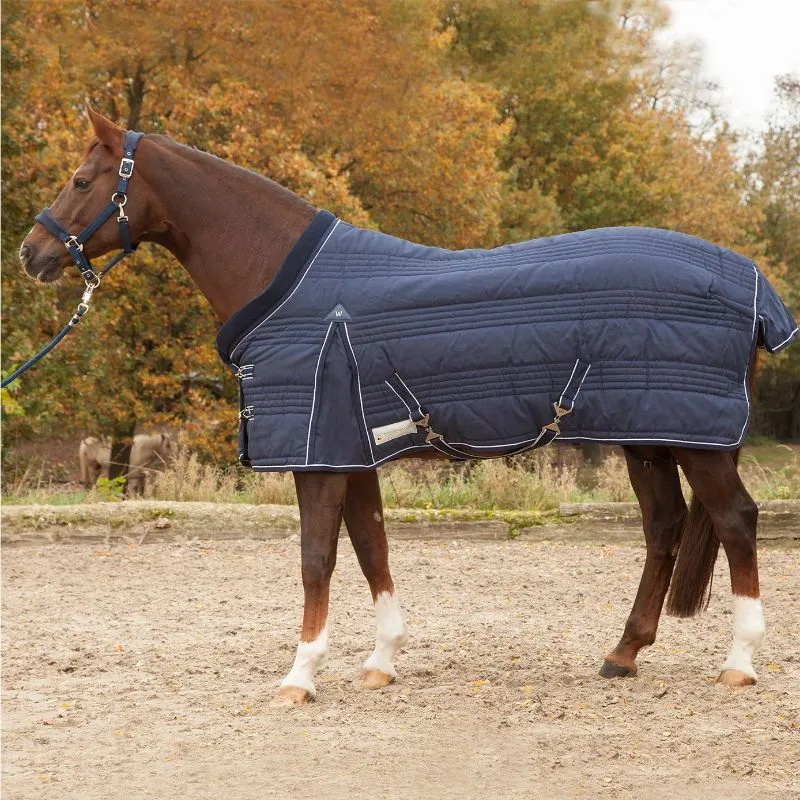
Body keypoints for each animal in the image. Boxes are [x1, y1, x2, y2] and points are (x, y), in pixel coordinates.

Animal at [18, 106, 788, 705]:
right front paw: (380, 663)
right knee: (664, 526)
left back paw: (738, 663)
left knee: (735, 520)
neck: (289, 283)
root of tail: (752, 282)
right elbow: (371, 546)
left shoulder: (319, 455)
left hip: (696, 442)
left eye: (82, 180)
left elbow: (317, 559)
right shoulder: (348, 451)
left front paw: (300, 675)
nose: (31, 253)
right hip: (649, 436)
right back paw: (623, 654)